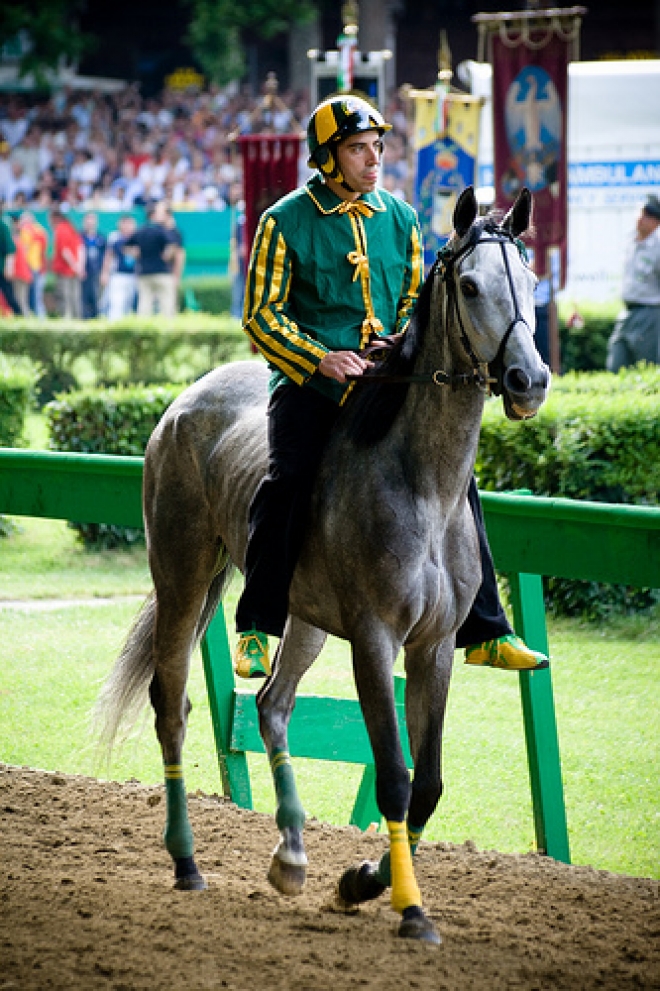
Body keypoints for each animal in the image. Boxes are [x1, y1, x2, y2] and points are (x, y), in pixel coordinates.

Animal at [96, 184, 552, 944]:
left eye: (532, 280)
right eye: (469, 284)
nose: (529, 379)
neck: (422, 482)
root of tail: (182, 401)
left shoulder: (433, 647)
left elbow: (428, 783)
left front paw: (361, 880)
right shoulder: (374, 637)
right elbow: (394, 776)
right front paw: (409, 907)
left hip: (302, 617)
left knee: (273, 705)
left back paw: (291, 853)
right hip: (183, 572)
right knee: (172, 703)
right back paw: (187, 861)